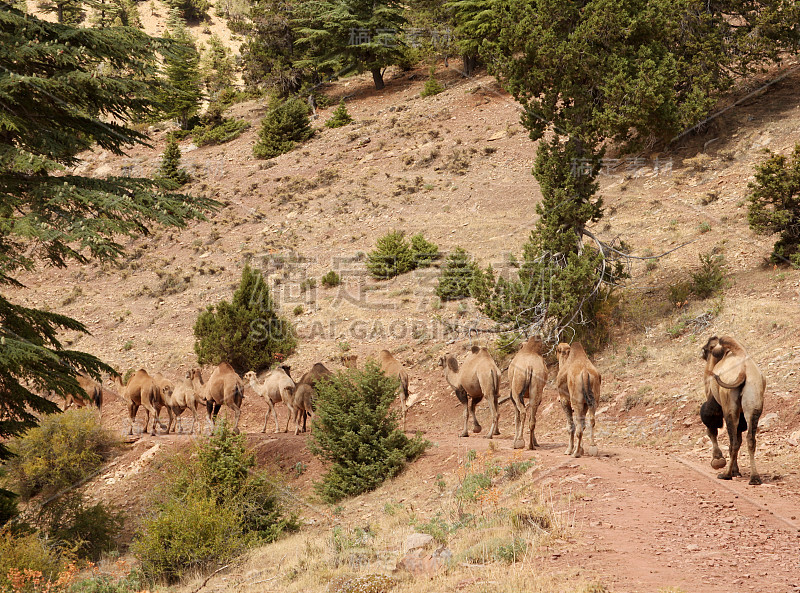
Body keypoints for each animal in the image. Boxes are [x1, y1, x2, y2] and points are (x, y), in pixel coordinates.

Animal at [704, 336, 764, 484]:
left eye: (705, 350)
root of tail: (744, 371)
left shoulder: (712, 400)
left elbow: (711, 428)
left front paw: (718, 461)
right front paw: (736, 471)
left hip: (729, 405)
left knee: (733, 442)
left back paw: (726, 474)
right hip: (753, 400)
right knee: (750, 440)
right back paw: (754, 478)